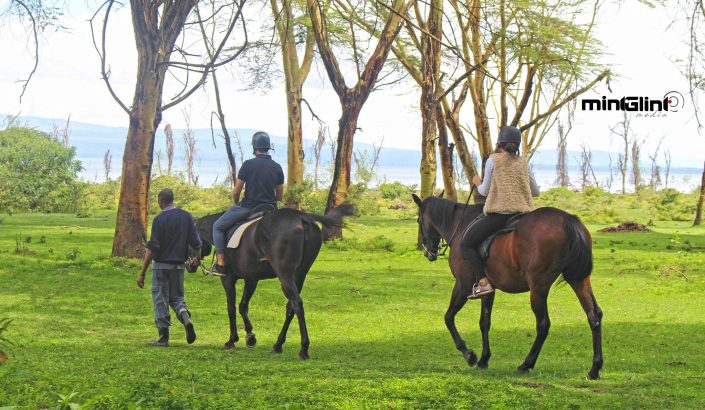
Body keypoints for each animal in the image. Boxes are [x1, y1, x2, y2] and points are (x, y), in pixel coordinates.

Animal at [412, 194, 604, 380]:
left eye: (419, 221)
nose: (428, 253)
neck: (460, 224)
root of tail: (568, 219)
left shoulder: (462, 285)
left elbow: (448, 317)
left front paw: (469, 355)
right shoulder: (488, 289)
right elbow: (484, 322)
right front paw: (484, 359)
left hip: (538, 287)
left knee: (543, 324)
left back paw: (526, 364)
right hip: (579, 279)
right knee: (593, 315)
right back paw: (594, 368)